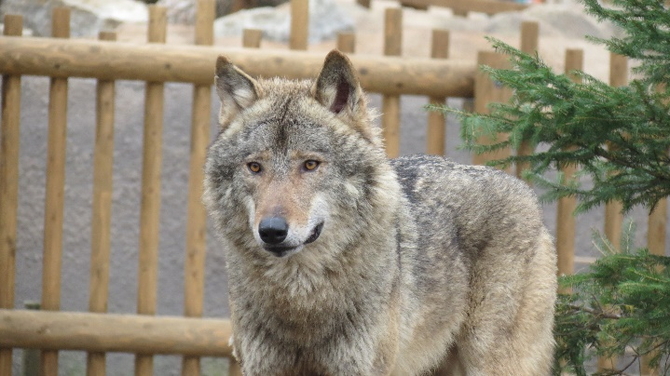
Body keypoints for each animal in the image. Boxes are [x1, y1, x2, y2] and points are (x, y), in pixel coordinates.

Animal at [202, 50, 560, 376]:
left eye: (310, 164)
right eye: (254, 167)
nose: (272, 230)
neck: (302, 302)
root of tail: (525, 190)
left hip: (493, 360)